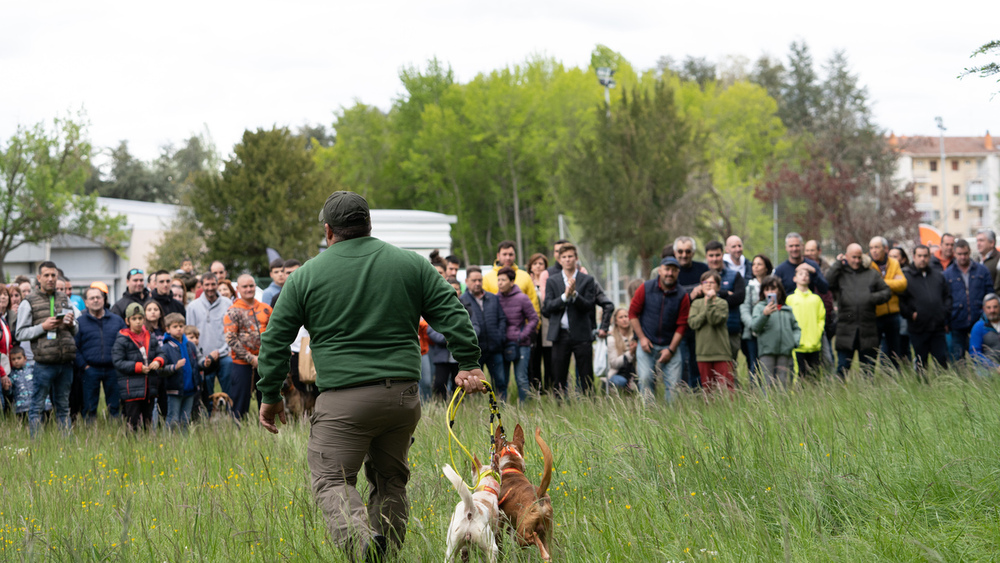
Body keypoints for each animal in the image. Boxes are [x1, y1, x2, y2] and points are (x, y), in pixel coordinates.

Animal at [494, 426, 556, 560]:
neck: (511, 467)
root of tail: (539, 495)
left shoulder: (499, 521)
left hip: (522, 535)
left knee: (533, 537)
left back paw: (543, 554)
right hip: (547, 533)